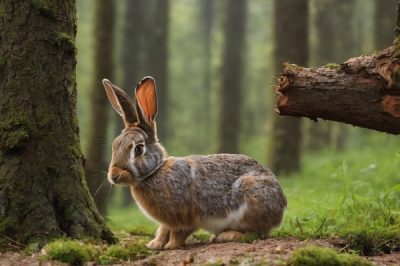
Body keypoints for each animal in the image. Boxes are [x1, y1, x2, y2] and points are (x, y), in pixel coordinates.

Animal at [101, 76, 286, 249]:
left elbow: (179, 232)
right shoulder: (167, 221)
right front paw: (155, 244)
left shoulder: (183, 217)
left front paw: (171, 246)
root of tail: (281, 207)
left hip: (249, 199)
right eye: (115, 145)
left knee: (256, 233)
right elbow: (163, 230)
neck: (155, 171)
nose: (114, 175)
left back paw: (226, 236)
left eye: (138, 149)